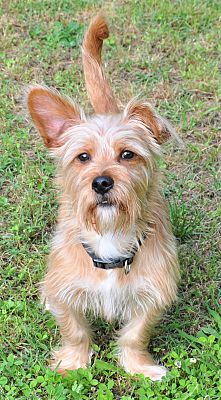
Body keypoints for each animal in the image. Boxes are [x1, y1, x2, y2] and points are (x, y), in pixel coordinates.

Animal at [26, 13, 180, 382]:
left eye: (127, 155)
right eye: (83, 157)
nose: (101, 182)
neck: (110, 235)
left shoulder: (152, 291)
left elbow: (136, 333)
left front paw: (138, 366)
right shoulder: (65, 288)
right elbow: (74, 330)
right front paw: (73, 363)